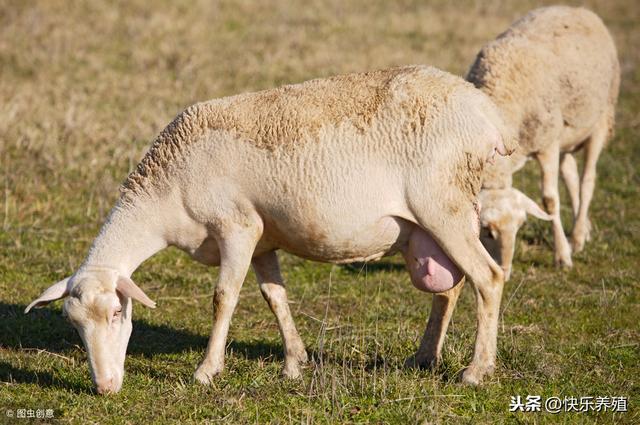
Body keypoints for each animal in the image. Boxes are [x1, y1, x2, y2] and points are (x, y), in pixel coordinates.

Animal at [26, 64, 516, 392]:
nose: (104, 387)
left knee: (488, 279)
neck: (166, 195)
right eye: (73, 324)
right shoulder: (262, 239)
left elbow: (224, 298)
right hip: (434, 222)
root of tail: (486, 114)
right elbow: (274, 296)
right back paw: (425, 357)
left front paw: (207, 370)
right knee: (451, 287)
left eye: (116, 313)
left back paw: (476, 371)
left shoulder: (236, 227)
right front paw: (295, 363)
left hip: (444, 204)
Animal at [464, 5, 620, 278]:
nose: (504, 271)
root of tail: (576, 8)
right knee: (570, 174)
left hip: (600, 119)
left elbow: (550, 200)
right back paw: (583, 230)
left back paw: (576, 236)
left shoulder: (547, 145)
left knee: (587, 180)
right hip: (566, 134)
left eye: (519, 228)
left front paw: (563, 256)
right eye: (487, 231)